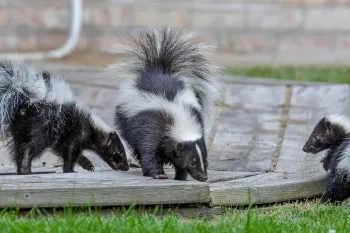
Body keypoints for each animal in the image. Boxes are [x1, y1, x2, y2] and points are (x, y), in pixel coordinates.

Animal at [0, 61, 129, 174]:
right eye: (119, 153)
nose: (126, 167)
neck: (92, 126)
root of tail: (25, 102)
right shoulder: (77, 133)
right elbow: (70, 152)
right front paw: (69, 170)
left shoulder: (62, 137)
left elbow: (63, 149)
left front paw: (87, 164)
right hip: (41, 125)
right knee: (31, 146)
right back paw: (26, 169)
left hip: (20, 128)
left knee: (19, 148)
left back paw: (20, 170)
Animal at [106, 27, 221, 182]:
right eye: (192, 162)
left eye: (206, 162)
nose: (203, 177)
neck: (178, 115)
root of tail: (158, 69)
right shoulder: (152, 128)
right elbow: (149, 152)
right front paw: (158, 174)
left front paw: (181, 176)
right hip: (126, 118)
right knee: (135, 145)